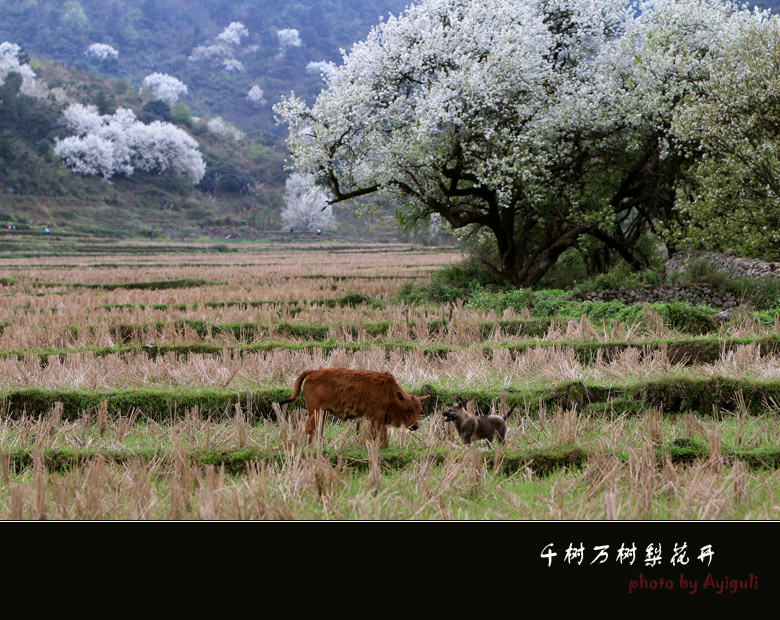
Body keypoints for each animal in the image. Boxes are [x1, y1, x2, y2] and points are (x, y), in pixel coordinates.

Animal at [278, 366, 430, 448]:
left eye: (419, 410)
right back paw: (310, 449)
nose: (415, 425)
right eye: (408, 409)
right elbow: (383, 435)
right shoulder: (378, 417)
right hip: (315, 411)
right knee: (310, 429)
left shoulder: (372, 419)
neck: (389, 393)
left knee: (319, 430)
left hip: (323, 413)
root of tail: (312, 372)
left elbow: (372, 435)